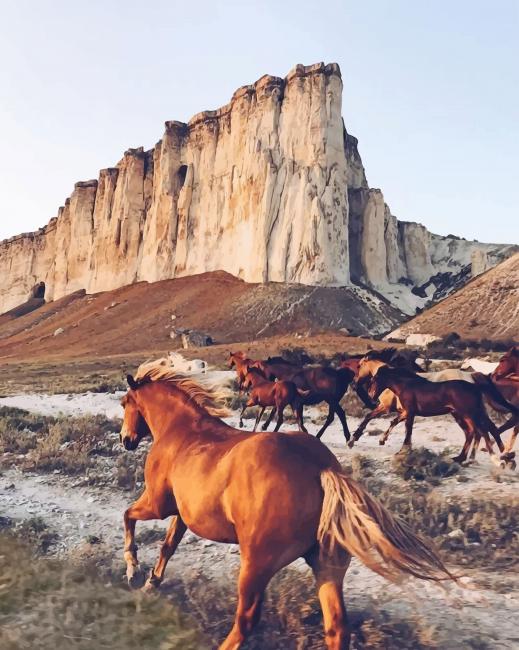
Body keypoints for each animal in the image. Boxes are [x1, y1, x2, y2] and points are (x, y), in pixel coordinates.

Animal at [119, 360, 456, 649]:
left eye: (124, 403)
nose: (126, 440)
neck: (182, 430)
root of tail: (321, 469)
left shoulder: (158, 504)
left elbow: (128, 516)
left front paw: (133, 570)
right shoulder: (183, 513)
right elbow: (168, 546)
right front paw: (151, 583)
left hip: (256, 565)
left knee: (246, 621)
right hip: (327, 565)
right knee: (337, 628)